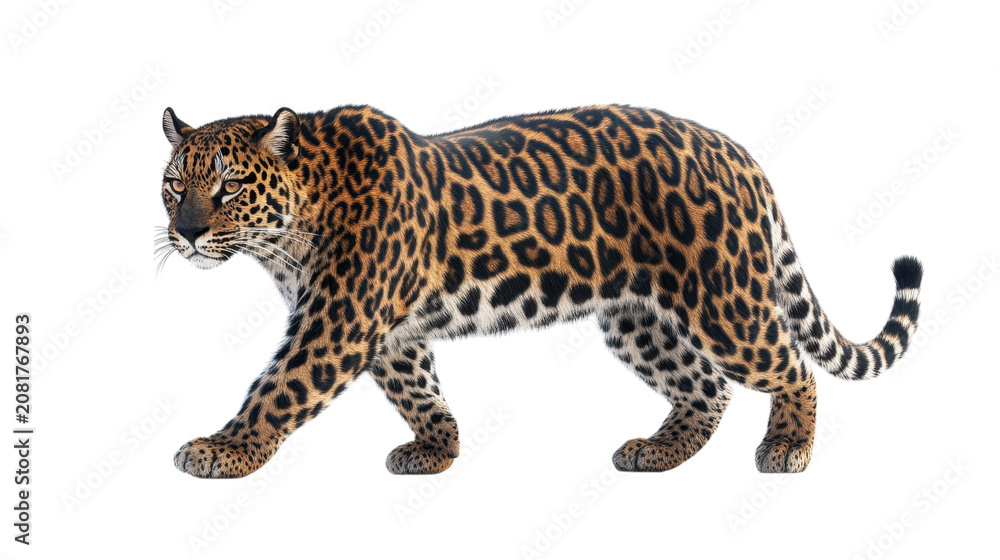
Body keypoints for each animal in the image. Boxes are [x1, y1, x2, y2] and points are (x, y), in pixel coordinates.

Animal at [157, 103, 922, 477]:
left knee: (791, 367)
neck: (291, 228)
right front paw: (438, 450)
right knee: (706, 388)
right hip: (638, 317)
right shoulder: (386, 330)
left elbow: (277, 389)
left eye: (228, 186)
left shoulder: (337, 320)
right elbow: (417, 387)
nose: (185, 234)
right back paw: (656, 452)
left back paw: (789, 447)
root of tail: (737, 153)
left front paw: (221, 451)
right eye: (172, 185)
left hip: (725, 299)